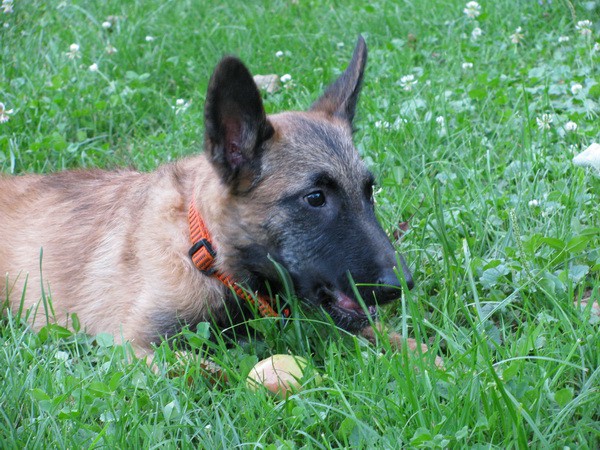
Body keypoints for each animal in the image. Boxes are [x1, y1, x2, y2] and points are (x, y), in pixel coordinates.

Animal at [0, 37, 434, 364]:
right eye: (315, 198)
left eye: (369, 190)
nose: (402, 284)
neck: (207, 254)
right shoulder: (136, 346)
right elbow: (213, 371)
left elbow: (393, 336)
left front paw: (432, 359)